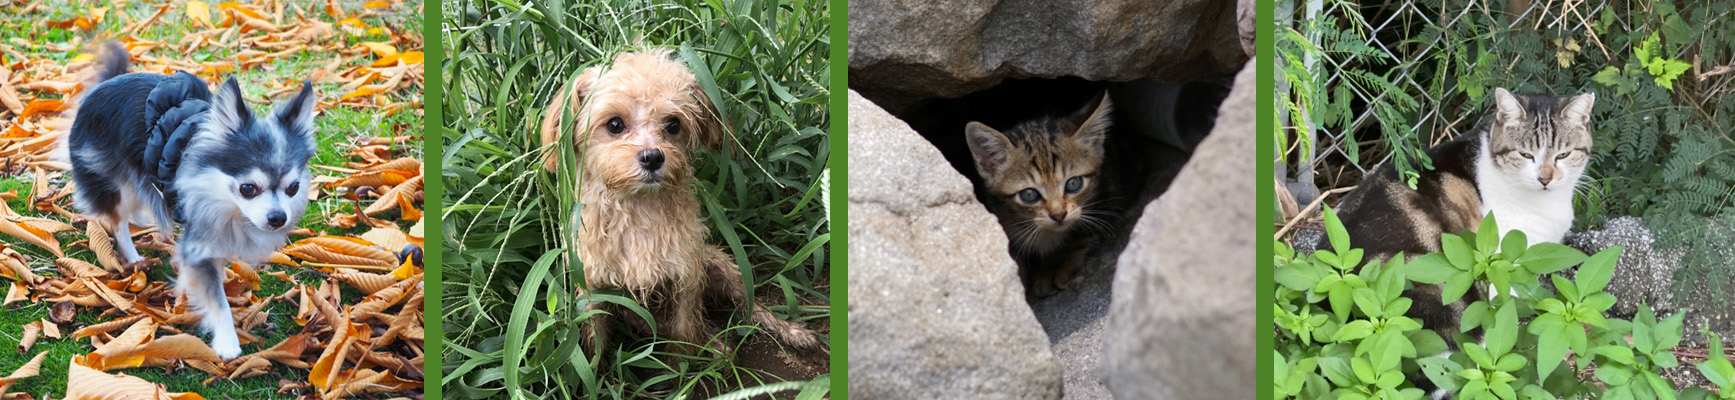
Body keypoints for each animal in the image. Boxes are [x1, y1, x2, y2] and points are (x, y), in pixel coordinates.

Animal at [67, 43, 319, 360]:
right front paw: (227, 342)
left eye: (293, 187)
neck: (225, 203)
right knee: (118, 220)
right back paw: (133, 256)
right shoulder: (199, 248)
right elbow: (216, 299)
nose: (278, 218)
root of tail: (101, 87)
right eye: (248, 188)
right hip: (116, 183)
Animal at [534, 49, 818, 356]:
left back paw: (787, 332)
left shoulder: (685, 275)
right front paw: (594, 365)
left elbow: (684, 331)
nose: (652, 157)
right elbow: (594, 339)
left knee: (750, 303)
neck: (638, 211)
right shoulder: (592, 285)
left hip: (720, 264)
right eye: (614, 124)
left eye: (673, 124)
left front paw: (685, 363)